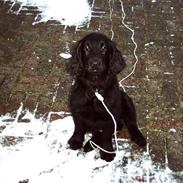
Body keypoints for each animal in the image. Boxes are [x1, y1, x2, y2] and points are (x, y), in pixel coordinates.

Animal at [67, 33, 146, 162]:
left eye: (103, 47)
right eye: (86, 47)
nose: (94, 63)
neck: (95, 88)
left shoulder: (111, 116)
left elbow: (106, 136)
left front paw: (107, 152)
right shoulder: (76, 109)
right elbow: (79, 128)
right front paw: (76, 140)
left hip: (126, 100)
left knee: (131, 123)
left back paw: (139, 137)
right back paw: (90, 144)